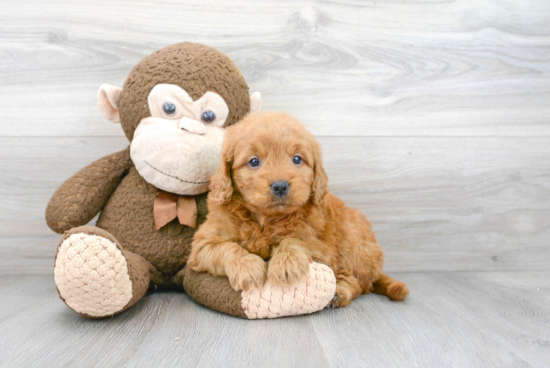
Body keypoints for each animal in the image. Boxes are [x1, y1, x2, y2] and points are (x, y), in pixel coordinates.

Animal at [190, 110, 410, 306]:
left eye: (297, 159)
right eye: (254, 161)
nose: (280, 186)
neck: (266, 220)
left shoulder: (322, 245)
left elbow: (294, 240)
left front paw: (285, 265)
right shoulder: (203, 244)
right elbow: (227, 248)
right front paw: (248, 268)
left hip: (354, 236)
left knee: (357, 281)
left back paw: (339, 292)